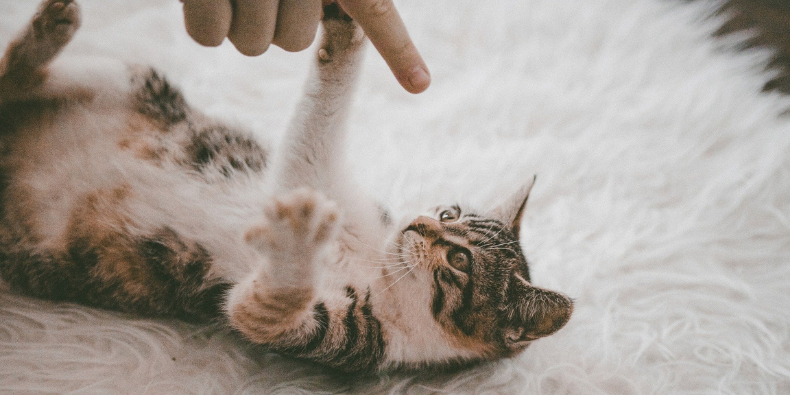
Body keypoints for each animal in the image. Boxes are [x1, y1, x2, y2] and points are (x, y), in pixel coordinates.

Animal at [0, 0, 572, 374]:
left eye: (458, 260)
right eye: (448, 212)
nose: (421, 223)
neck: (375, 261)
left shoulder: (342, 339)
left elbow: (263, 309)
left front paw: (295, 241)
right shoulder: (315, 176)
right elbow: (315, 129)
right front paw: (347, 28)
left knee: (10, 88)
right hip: (129, 77)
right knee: (19, 81)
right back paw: (47, 34)